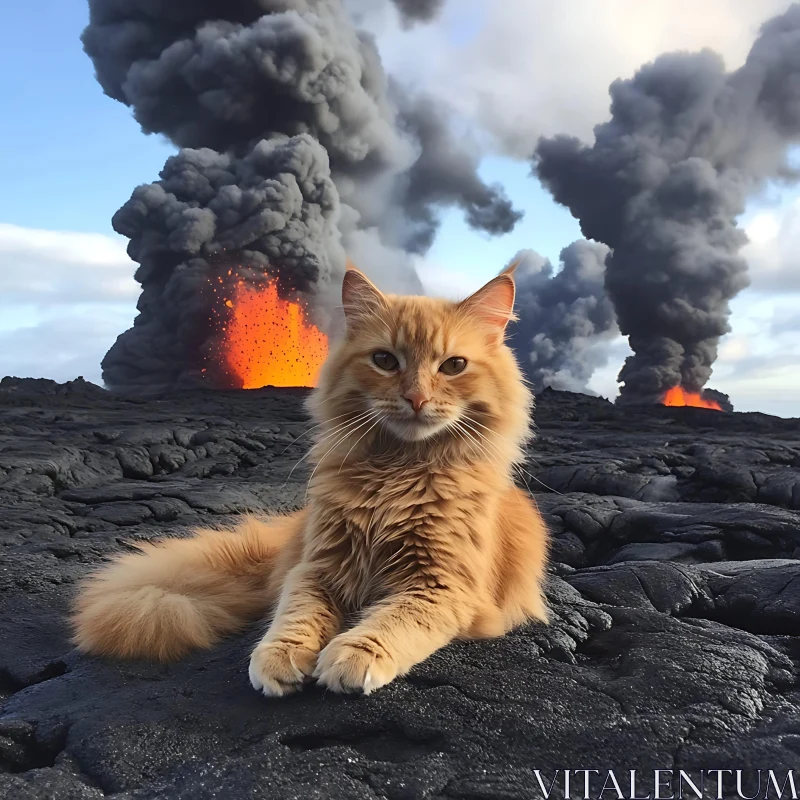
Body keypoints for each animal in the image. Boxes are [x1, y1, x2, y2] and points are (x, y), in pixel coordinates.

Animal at [72, 268, 552, 692]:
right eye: (384, 360)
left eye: (453, 366)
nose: (416, 398)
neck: (396, 472)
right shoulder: (317, 567)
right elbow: (296, 613)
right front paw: (281, 655)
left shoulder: (440, 586)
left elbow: (391, 622)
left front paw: (353, 655)